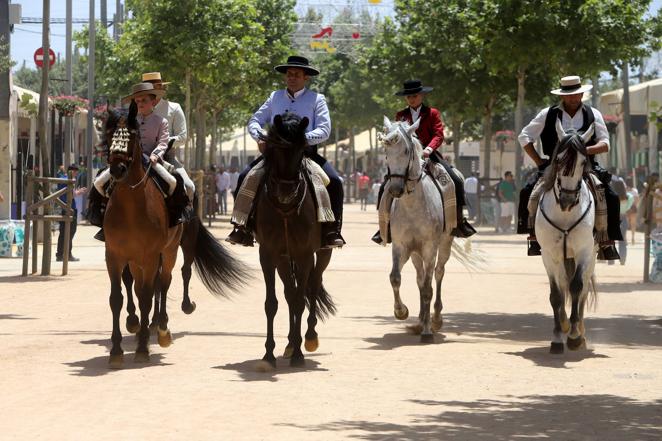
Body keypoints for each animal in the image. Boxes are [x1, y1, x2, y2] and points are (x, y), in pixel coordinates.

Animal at [102, 105, 248, 366]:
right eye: (109, 135)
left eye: (132, 135)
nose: (117, 169)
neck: (131, 206)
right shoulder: (114, 256)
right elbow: (117, 298)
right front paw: (117, 349)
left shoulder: (150, 256)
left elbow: (147, 295)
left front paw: (142, 348)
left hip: (174, 248)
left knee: (172, 277)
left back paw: (165, 325)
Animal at [254, 111, 338, 370]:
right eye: (274, 149)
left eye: (302, 151)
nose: (285, 193)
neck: (285, 210)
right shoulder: (268, 254)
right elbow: (272, 303)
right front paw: (268, 355)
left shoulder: (304, 254)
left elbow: (302, 300)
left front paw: (300, 354)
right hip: (284, 258)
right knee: (290, 293)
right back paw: (291, 343)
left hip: (322, 253)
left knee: (312, 287)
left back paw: (308, 338)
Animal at [378, 116, 456, 340]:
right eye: (386, 152)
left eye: (406, 151)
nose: (395, 189)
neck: (412, 205)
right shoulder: (401, 247)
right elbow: (395, 278)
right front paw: (401, 311)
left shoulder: (430, 248)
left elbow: (429, 288)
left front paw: (428, 331)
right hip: (415, 253)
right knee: (421, 279)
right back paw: (422, 319)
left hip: (444, 245)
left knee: (438, 274)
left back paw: (435, 319)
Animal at [536, 120, 600, 354]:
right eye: (559, 159)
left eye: (583, 162)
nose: (567, 199)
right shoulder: (549, 255)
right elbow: (556, 294)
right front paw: (557, 336)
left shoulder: (583, 252)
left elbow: (576, 287)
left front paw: (573, 336)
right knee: (563, 284)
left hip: (592, 256)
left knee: (581, 290)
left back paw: (579, 331)